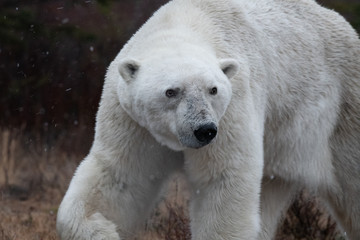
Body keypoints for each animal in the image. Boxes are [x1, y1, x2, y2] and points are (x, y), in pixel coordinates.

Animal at [56, 0, 360, 239]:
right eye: (171, 91)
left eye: (213, 89)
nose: (204, 130)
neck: (187, 21)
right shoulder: (131, 119)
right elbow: (120, 175)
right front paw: (103, 230)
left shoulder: (233, 106)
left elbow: (223, 178)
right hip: (283, 147)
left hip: (343, 110)